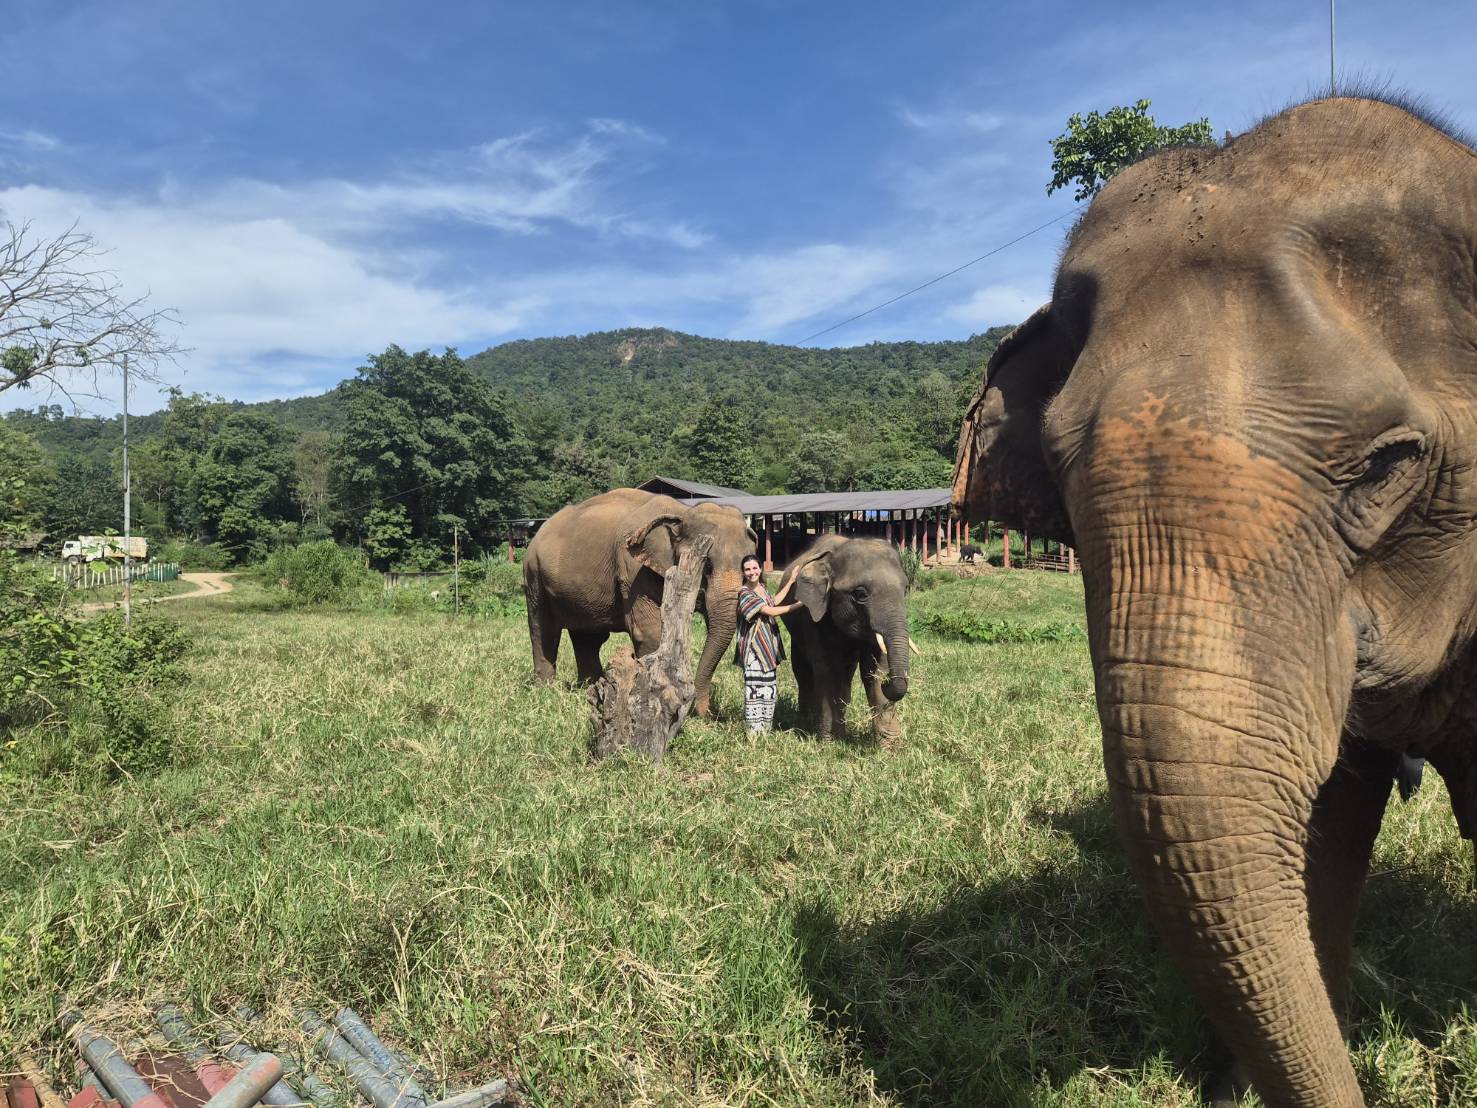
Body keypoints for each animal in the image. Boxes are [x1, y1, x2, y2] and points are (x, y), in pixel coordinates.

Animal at [523, 488, 756, 715]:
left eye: (745, 565)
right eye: (706, 565)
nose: (705, 713)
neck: (682, 512)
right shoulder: (633, 572)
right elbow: (650, 632)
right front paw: (656, 701)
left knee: (587, 638)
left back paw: (590, 688)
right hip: (534, 576)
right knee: (543, 631)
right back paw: (547, 688)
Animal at [779, 535, 914, 742]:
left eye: (905, 589)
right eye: (860, 594)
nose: (888, 681)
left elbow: (873, 669)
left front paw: (891, 746)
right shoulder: (813, 615)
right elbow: (825, 669)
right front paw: (828, 742)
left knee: (845, 674)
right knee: (803, 670)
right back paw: (806, 722)